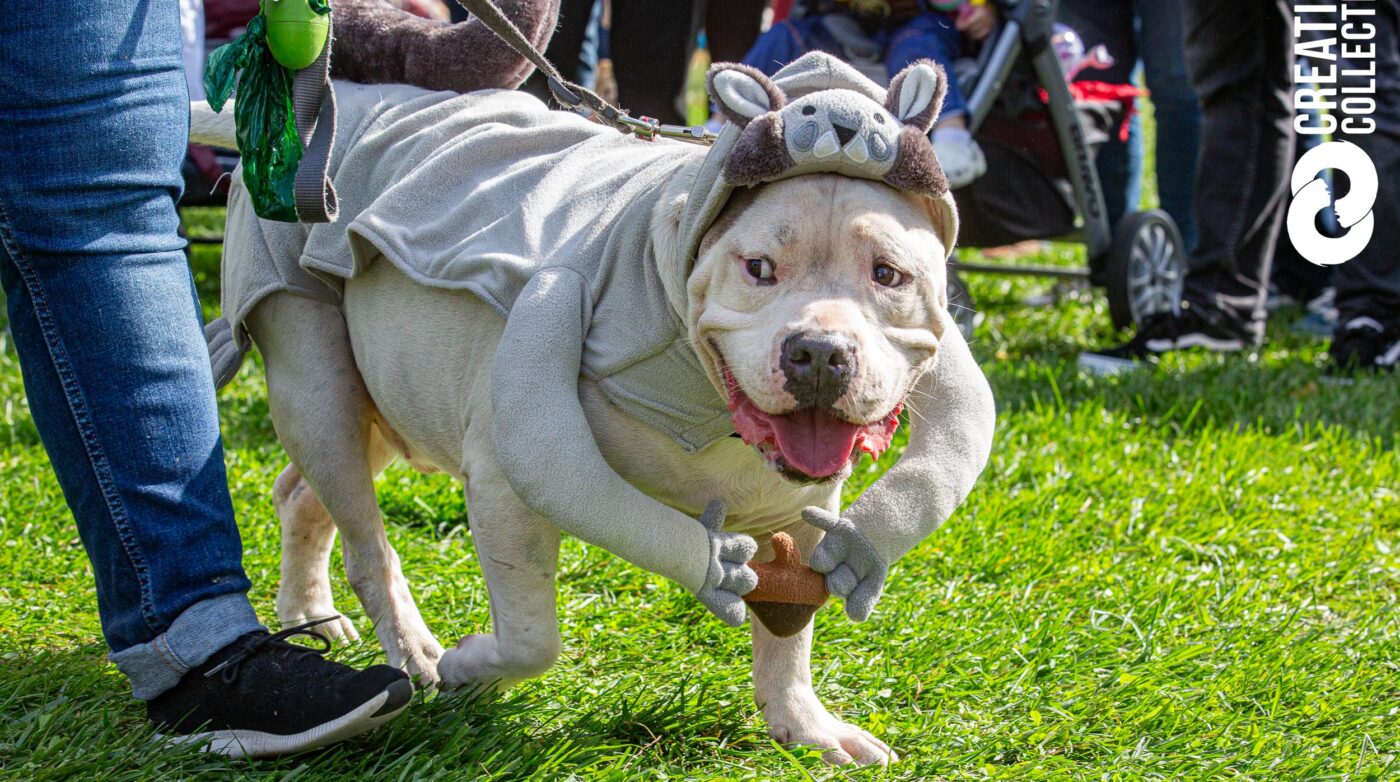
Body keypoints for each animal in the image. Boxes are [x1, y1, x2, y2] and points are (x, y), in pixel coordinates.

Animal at [197, 52, 1002, 766]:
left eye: (888, 275)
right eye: (758, 268)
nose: (819, 353)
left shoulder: (806, 514)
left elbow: (790, 634)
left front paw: (803, 725)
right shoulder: (504, 483)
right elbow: (532, 638)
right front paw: (468, 668)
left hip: (387, 391)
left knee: (302, 491)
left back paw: (311, 611)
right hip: (315, 370)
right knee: (368, 540)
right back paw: (414, 652)